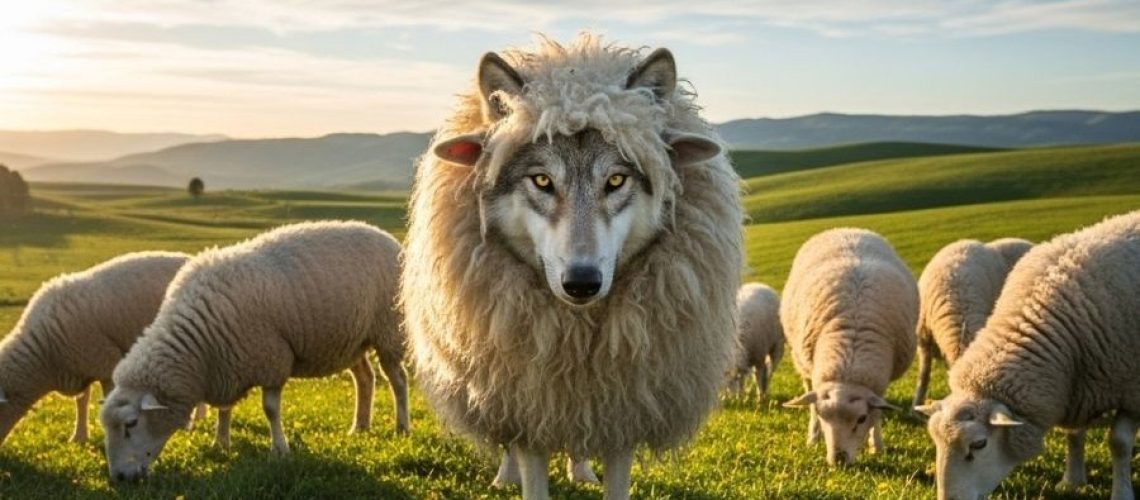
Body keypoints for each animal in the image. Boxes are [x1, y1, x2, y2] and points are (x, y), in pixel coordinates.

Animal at [100, 221, 408, 482]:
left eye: (131, 424)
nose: (119, 479)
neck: (198, 348)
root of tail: (386, 236)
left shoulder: (271, 360)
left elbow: (270, 410)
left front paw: (280, 451)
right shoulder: (225, 364)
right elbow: (224, 409)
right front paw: (221, 443)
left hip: (389, 329)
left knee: (398, 379)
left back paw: (402, 428)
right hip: (350, 340)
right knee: (365, 378)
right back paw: (360, 426)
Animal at [402, 34, 743, 500]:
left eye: (616, 180)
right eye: (542, 180)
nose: (582, 282)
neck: (576, 335)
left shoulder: (622, 410)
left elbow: (617, 483)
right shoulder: (529, 404)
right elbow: (531, 474)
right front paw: (517, 476)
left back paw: (580, 469)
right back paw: (505, 474)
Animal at [781, 228, 918, 466]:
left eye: (861, 418)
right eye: (824, 416)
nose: (839, 460)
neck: (849, 365)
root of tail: (847, 230)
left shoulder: (879, 385)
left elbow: (878, 414)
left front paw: (877, 446)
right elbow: (813, 406)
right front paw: (815, 435)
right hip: (800, 359)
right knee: (808, 391)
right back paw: (813, 436)